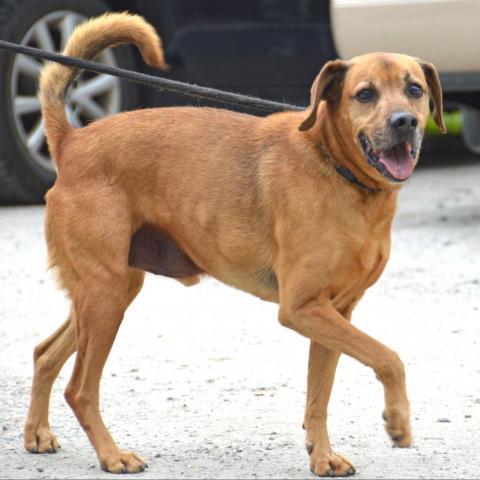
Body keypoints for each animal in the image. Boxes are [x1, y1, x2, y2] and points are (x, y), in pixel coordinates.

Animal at [24, 11, 446, 476]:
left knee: (44, 353)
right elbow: (389, 357)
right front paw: (398, 421)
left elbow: (318, 397)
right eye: (365, 94)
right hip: (106, 297)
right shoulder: (302, 309)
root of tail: (72, 141)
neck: (336, 168)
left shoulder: (333, 313)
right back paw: (111, 455)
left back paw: (37, 434)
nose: (404, 122)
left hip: (105, 294)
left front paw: (322, 456)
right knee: (79, 389)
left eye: (415, 90)